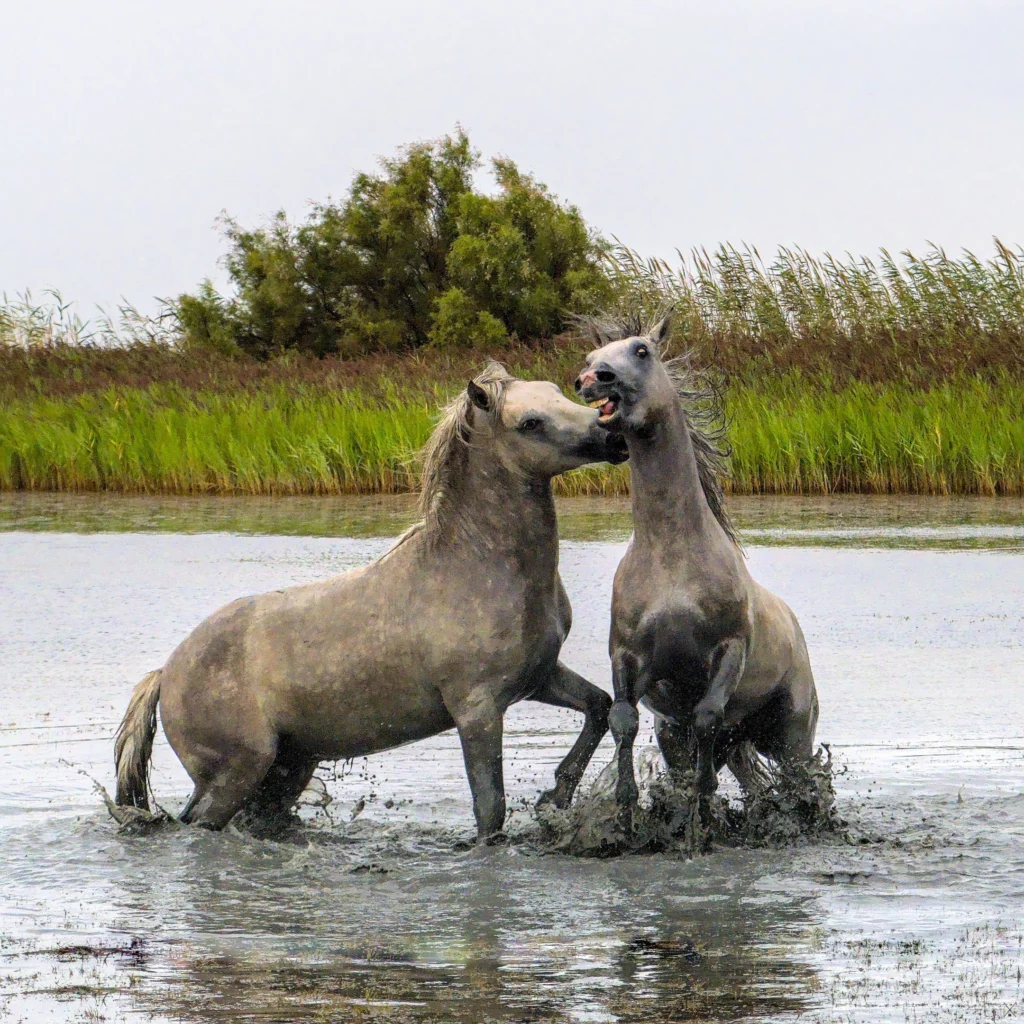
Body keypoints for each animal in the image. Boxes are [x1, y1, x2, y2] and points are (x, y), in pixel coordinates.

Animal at [114, 363, 627, 841]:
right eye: (530, 423)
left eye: (559, 392)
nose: (613, 434)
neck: (479, 566)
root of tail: (165, 674)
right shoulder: (477, 709)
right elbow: (490, 809)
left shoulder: (539, 676)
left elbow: (600, 706)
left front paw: (556, 796)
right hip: (234, 774)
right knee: (197, 824)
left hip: (286, 769)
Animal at [574, 316, 818, 822]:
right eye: (589, 358)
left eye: (642, 350)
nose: (593, 380)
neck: (672, 557)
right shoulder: (629, 657)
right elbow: (622, 720)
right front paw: (627, 805)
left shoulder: (729, 650)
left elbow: (708, 715)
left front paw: (704, 804)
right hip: (701, 735)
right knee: (751, 778)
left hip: (791, 731)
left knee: (803, 778)